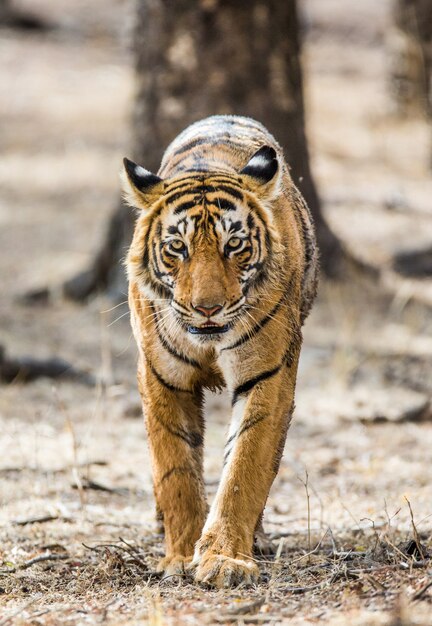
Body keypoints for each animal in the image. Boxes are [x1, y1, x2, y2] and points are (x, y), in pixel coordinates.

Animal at [121, 113, 318, 584]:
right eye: (177, 247)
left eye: (235, 245)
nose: (207, 308)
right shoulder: (161, 376)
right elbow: (174, 468)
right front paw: (179, 555)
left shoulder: (268, 374)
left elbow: (244, 466)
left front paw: (226, 558)